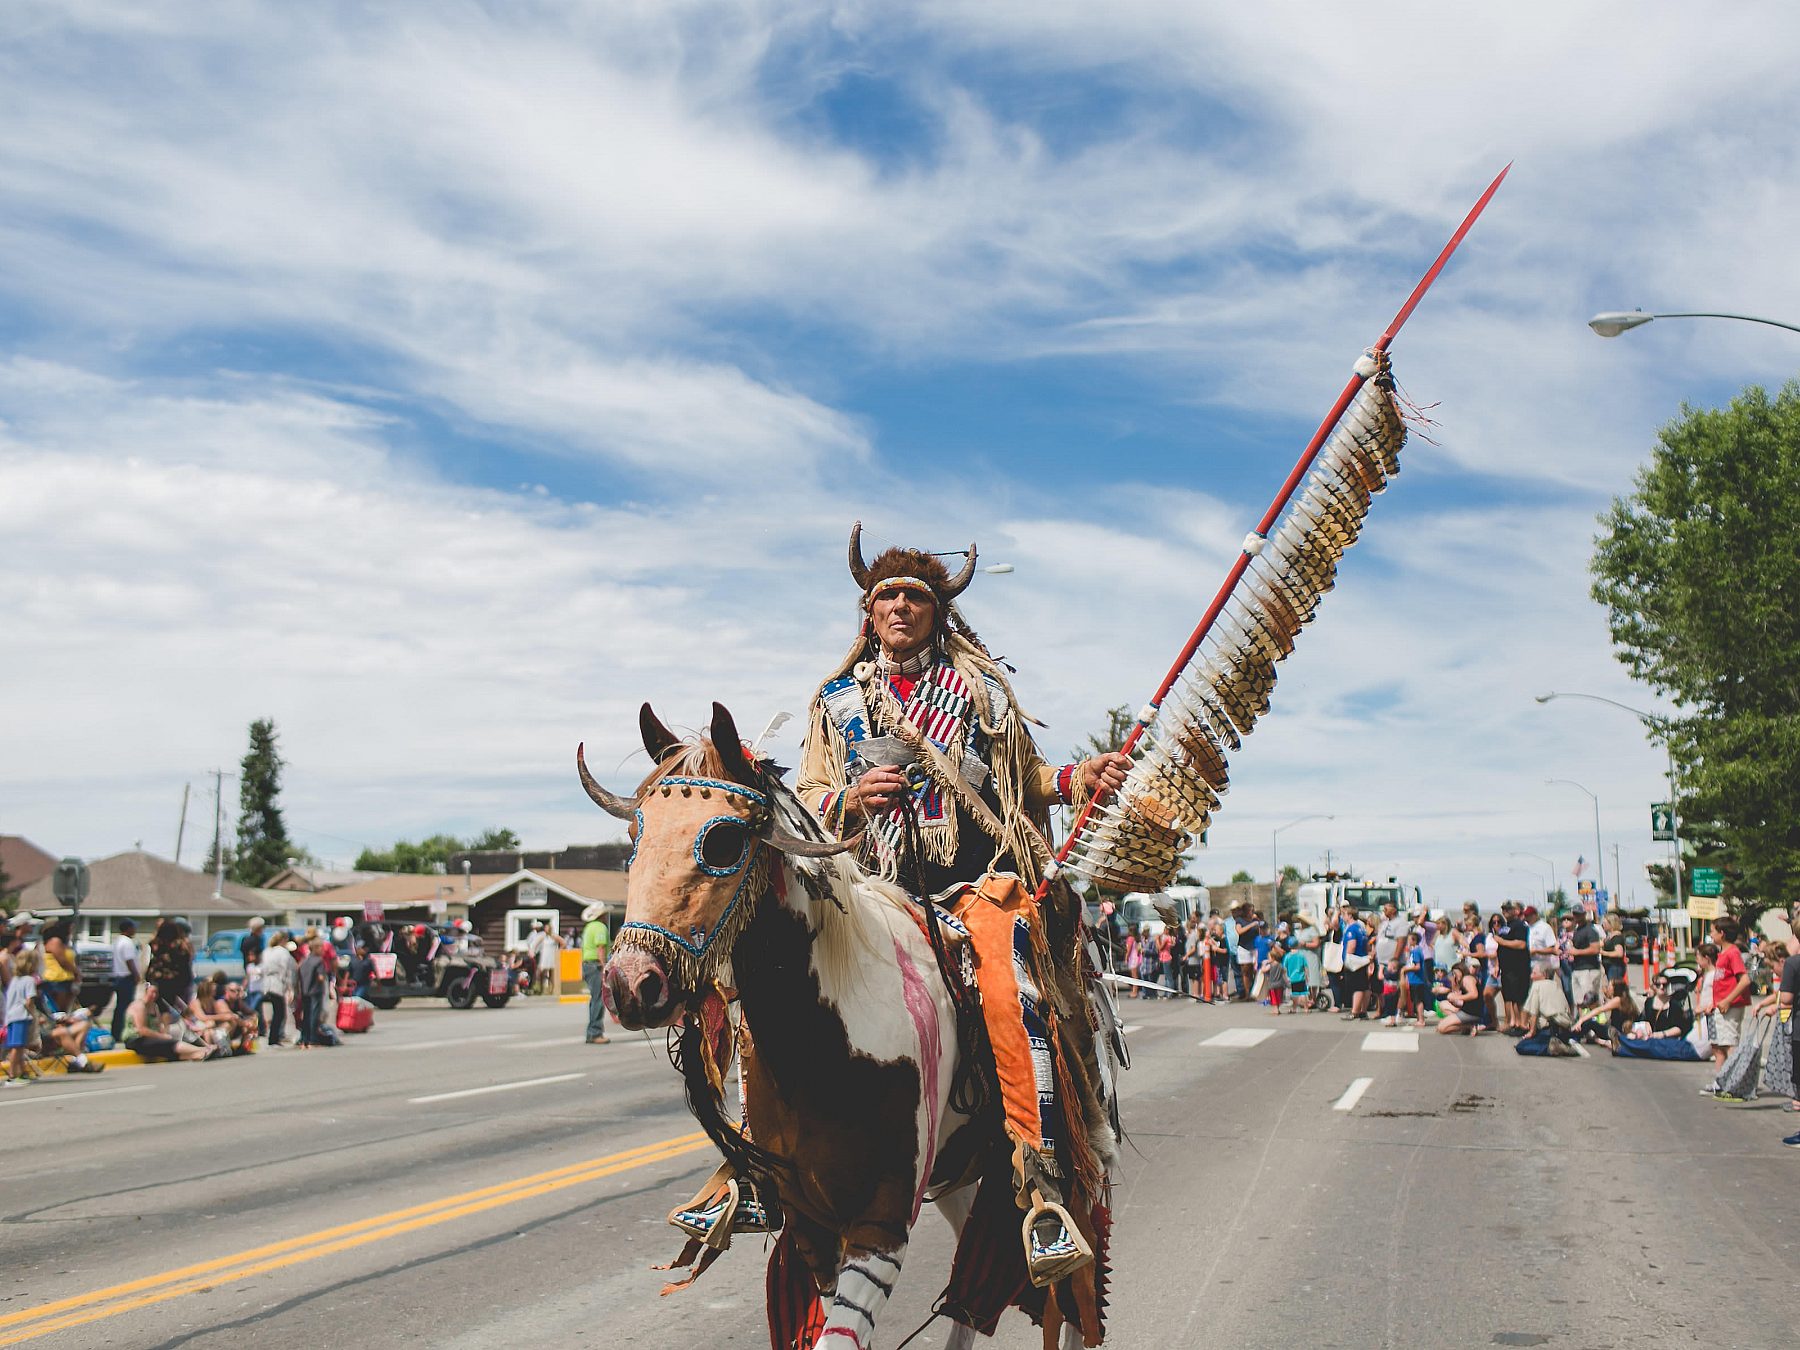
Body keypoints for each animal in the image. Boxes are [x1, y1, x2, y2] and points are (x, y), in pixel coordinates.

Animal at [583, 702, 1101, 1350]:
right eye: (636, 836)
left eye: (723, 840)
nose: (631, 984)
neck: (827, 1046)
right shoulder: (813, 1225)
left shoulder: (882, 1221)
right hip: (959, 1174)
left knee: (1072, 1291)